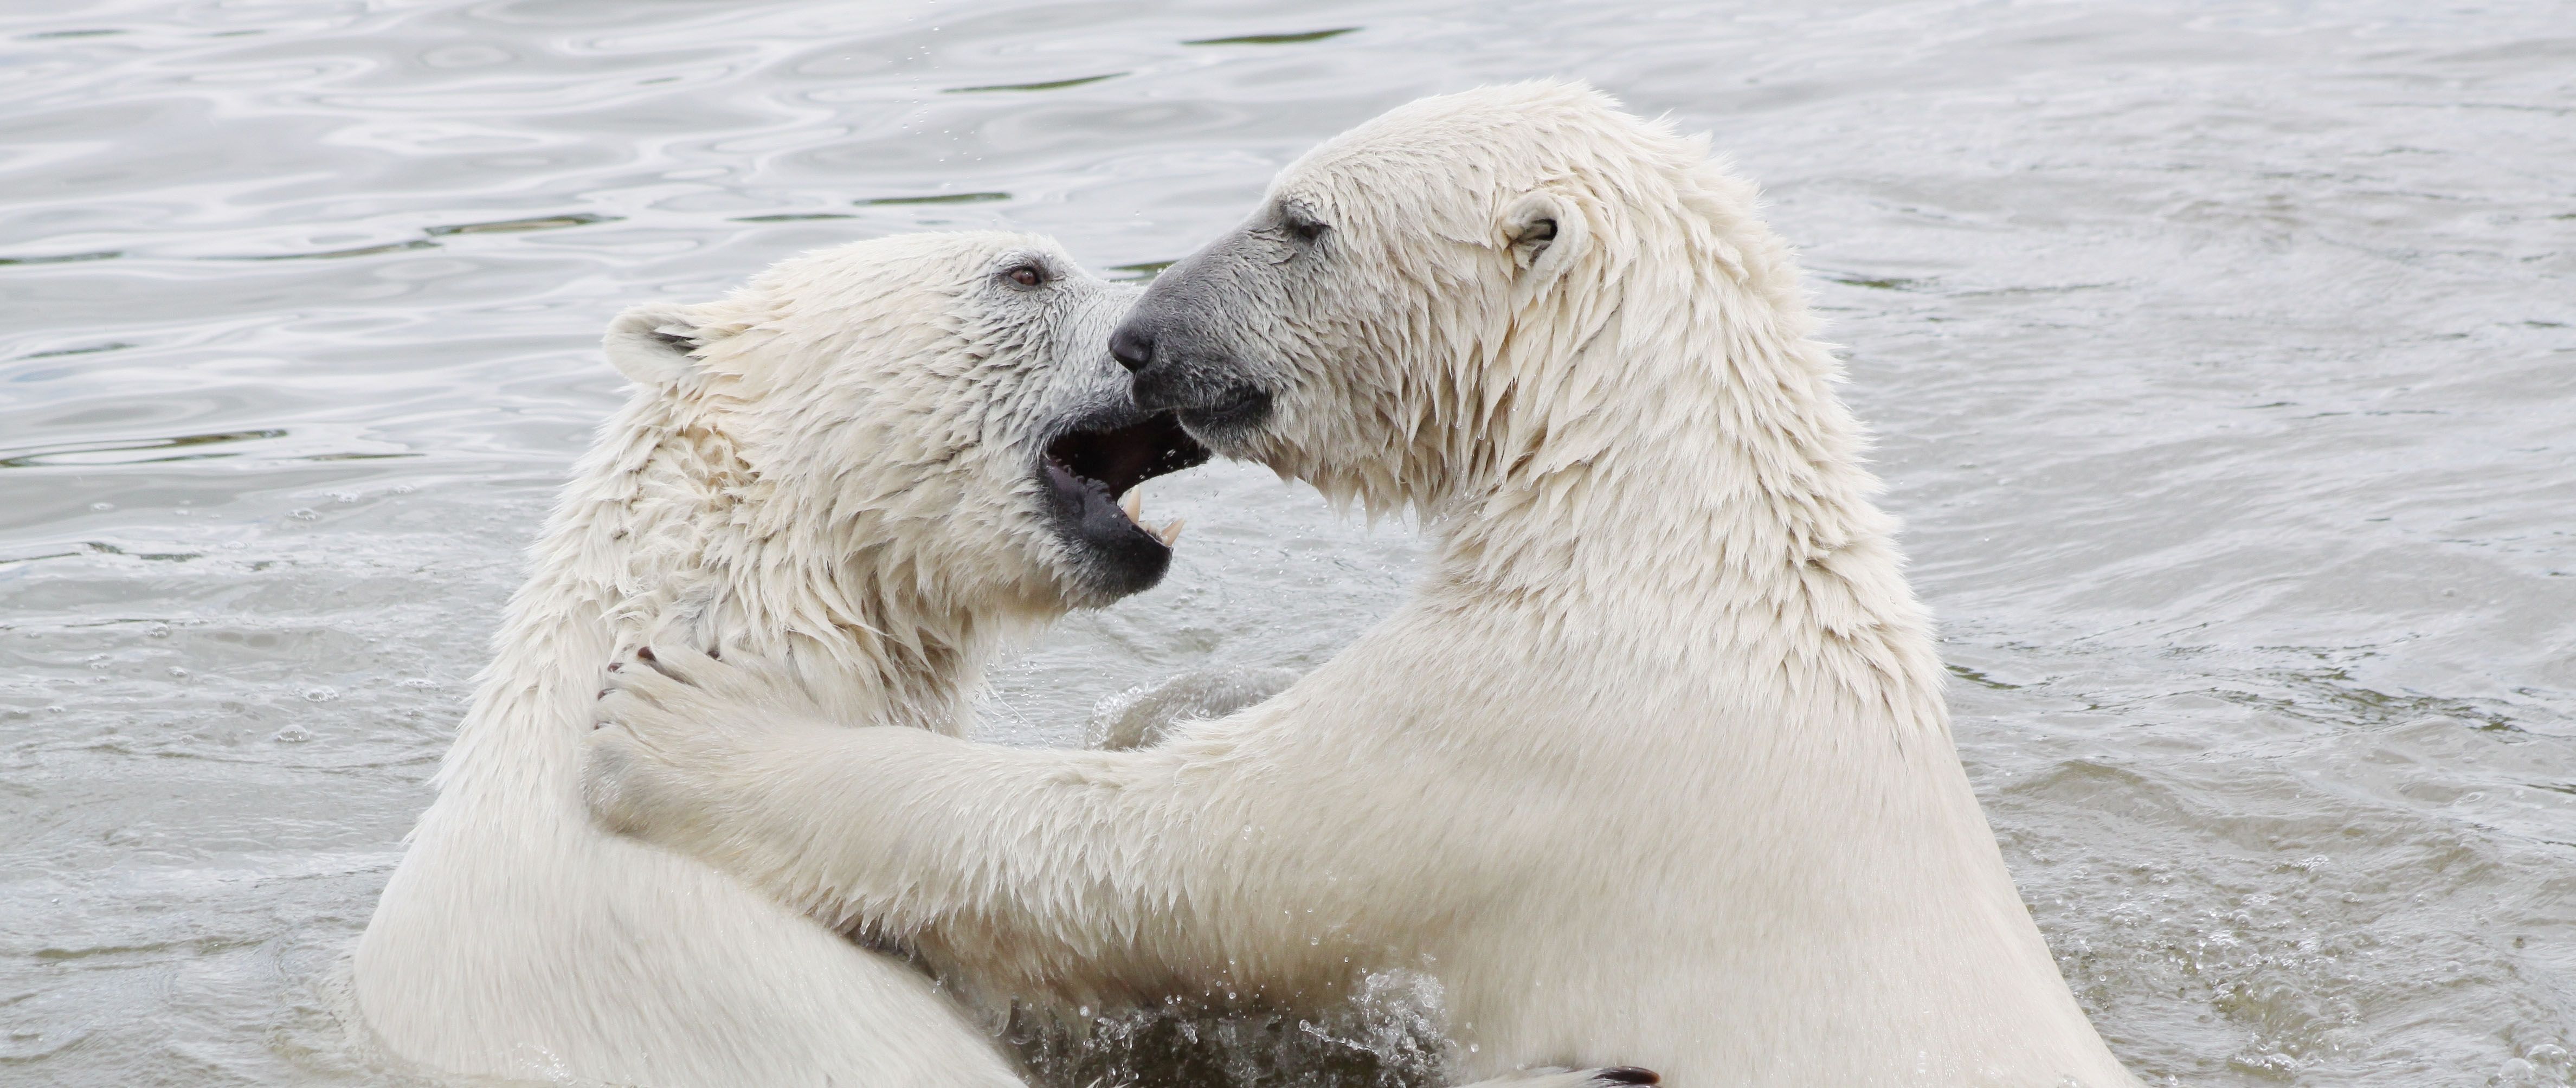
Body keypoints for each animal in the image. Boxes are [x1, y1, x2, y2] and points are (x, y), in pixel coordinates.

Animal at [578, 83, 2139, 1087]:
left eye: (1301, 220)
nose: (1145, 337)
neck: (1669, 535)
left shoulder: (1516, 750)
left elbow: (1142, 856)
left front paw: (681, 725)